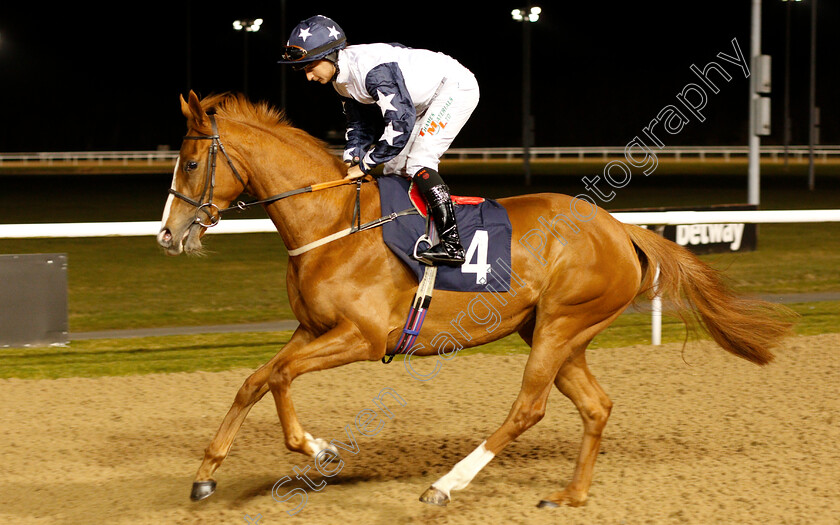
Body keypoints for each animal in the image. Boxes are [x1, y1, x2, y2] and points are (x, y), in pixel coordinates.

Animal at [158, 93, 796, 508]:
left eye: (190, 162)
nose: (168, 234)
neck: (335, 223)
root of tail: (621, 229)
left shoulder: (361, 338)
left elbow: (276, 376)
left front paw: (308, 450)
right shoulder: (313, 330)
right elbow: (260, 379)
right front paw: (219, 470)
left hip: (561, 325)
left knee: (529, 409)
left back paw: (446, 485)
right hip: (557, 331)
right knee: (596, 406)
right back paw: (570, 495)